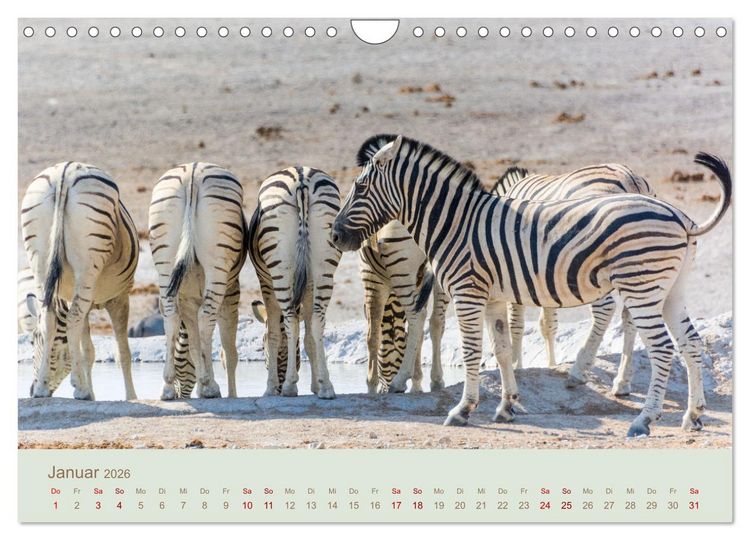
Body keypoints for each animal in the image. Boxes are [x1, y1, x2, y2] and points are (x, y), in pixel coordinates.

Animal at [21, 162, 139, 400]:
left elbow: (90, 351)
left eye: (33, 340)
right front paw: (129, 397)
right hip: (87, 265)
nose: (29, 390)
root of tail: (64, 172)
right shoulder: (118, 297)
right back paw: (78, 389)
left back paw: (45, 388)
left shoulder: (90, 299)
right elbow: (120, 352)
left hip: (40, 262)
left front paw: (95, 394)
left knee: (48, 316)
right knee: (73, 318)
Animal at [148, 163, 246, 400]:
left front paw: (203, 384)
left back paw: (167, 387)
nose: (182, 394)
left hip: (165, 261)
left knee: (171, 316)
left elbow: (194, 343)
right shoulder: (231, 292)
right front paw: (215, 388)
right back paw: (209, 386)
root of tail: (192, 173)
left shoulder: (187, 299)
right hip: (217, 266)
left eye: (181, 365)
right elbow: (227, 349)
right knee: (206, 316)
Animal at [247, 166, 342, 399]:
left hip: (280, 269)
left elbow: (274, 333)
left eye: (261, 345)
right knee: (317, 322)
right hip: (324, 265)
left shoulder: (265, 282)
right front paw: (317, 385)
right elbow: (308, 337)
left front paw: (270, 388)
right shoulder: (308, 285)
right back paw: (327, 387)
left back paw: (290, 386)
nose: (279, 386)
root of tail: (301, 177)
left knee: (290, 320)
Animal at [332, 135, 731, 437]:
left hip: (641, 288)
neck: (456, 222)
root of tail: (680, 217)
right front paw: (507, 407)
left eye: (360, 187)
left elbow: (473, 352)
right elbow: (502, 350)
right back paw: (693, 415)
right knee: (691, 343)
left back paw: (643, 419)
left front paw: (463, 410)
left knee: (663, 348)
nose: (335, 236)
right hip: (671, 291)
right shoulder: (493, 298)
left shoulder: (468, 293)